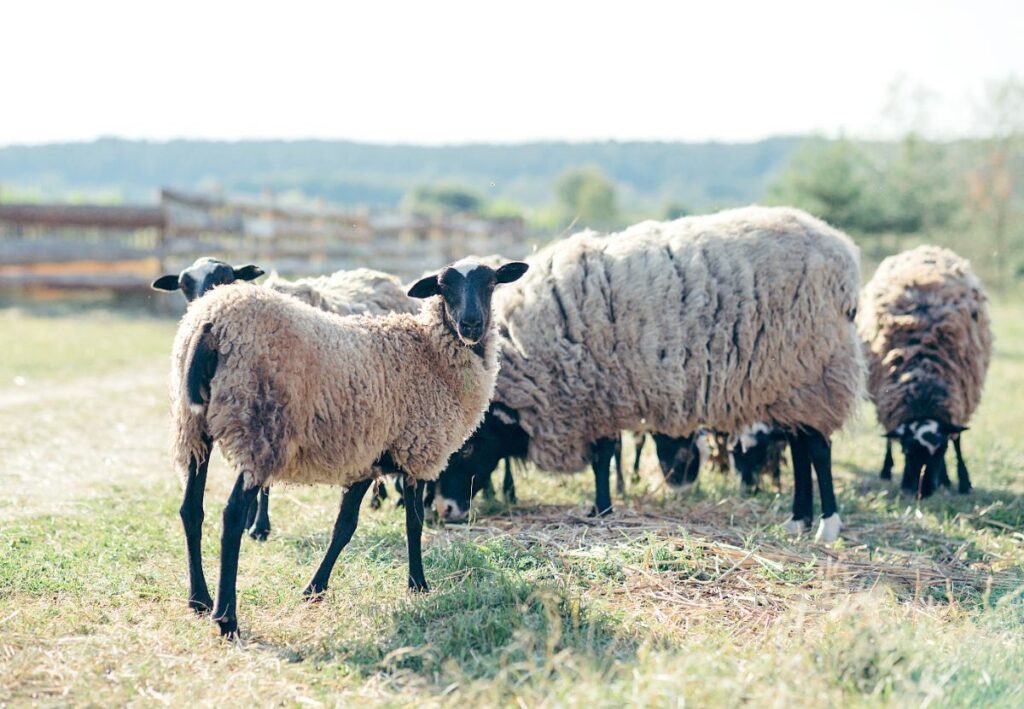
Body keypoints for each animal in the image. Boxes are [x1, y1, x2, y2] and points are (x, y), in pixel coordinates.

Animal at [170, 258, 528, 636]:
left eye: (490, 283)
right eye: (443, 287)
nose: (471, 324)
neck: (430, 352)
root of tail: (211, 322)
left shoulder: (368, 456)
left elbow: (344, 527)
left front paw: (314, 590)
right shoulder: (415, 450)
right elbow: (413, 522)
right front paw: (418, 584)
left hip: (193, 428)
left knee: (191, 509)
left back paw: (199, 600)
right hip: (259, 425)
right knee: (233, 515)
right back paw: (227, 618)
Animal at [433, 206, 861, 543]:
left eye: (467, 449)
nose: (445, 510)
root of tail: (842, 252)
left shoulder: (595, 393)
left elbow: (603, 457)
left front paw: (602, 509)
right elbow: (607, 456)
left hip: (813, 368)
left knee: (818, 450)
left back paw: (827, 526)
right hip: (790, 384)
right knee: (802, 447)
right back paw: (798, 520)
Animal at [857, 245, 992, 497]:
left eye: (941, 451)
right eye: (907, 451)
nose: (921, 491)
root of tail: (926, 248)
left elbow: (957, 441)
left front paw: (962, 480)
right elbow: (892, 438)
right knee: (887, 436)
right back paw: (886, 470)